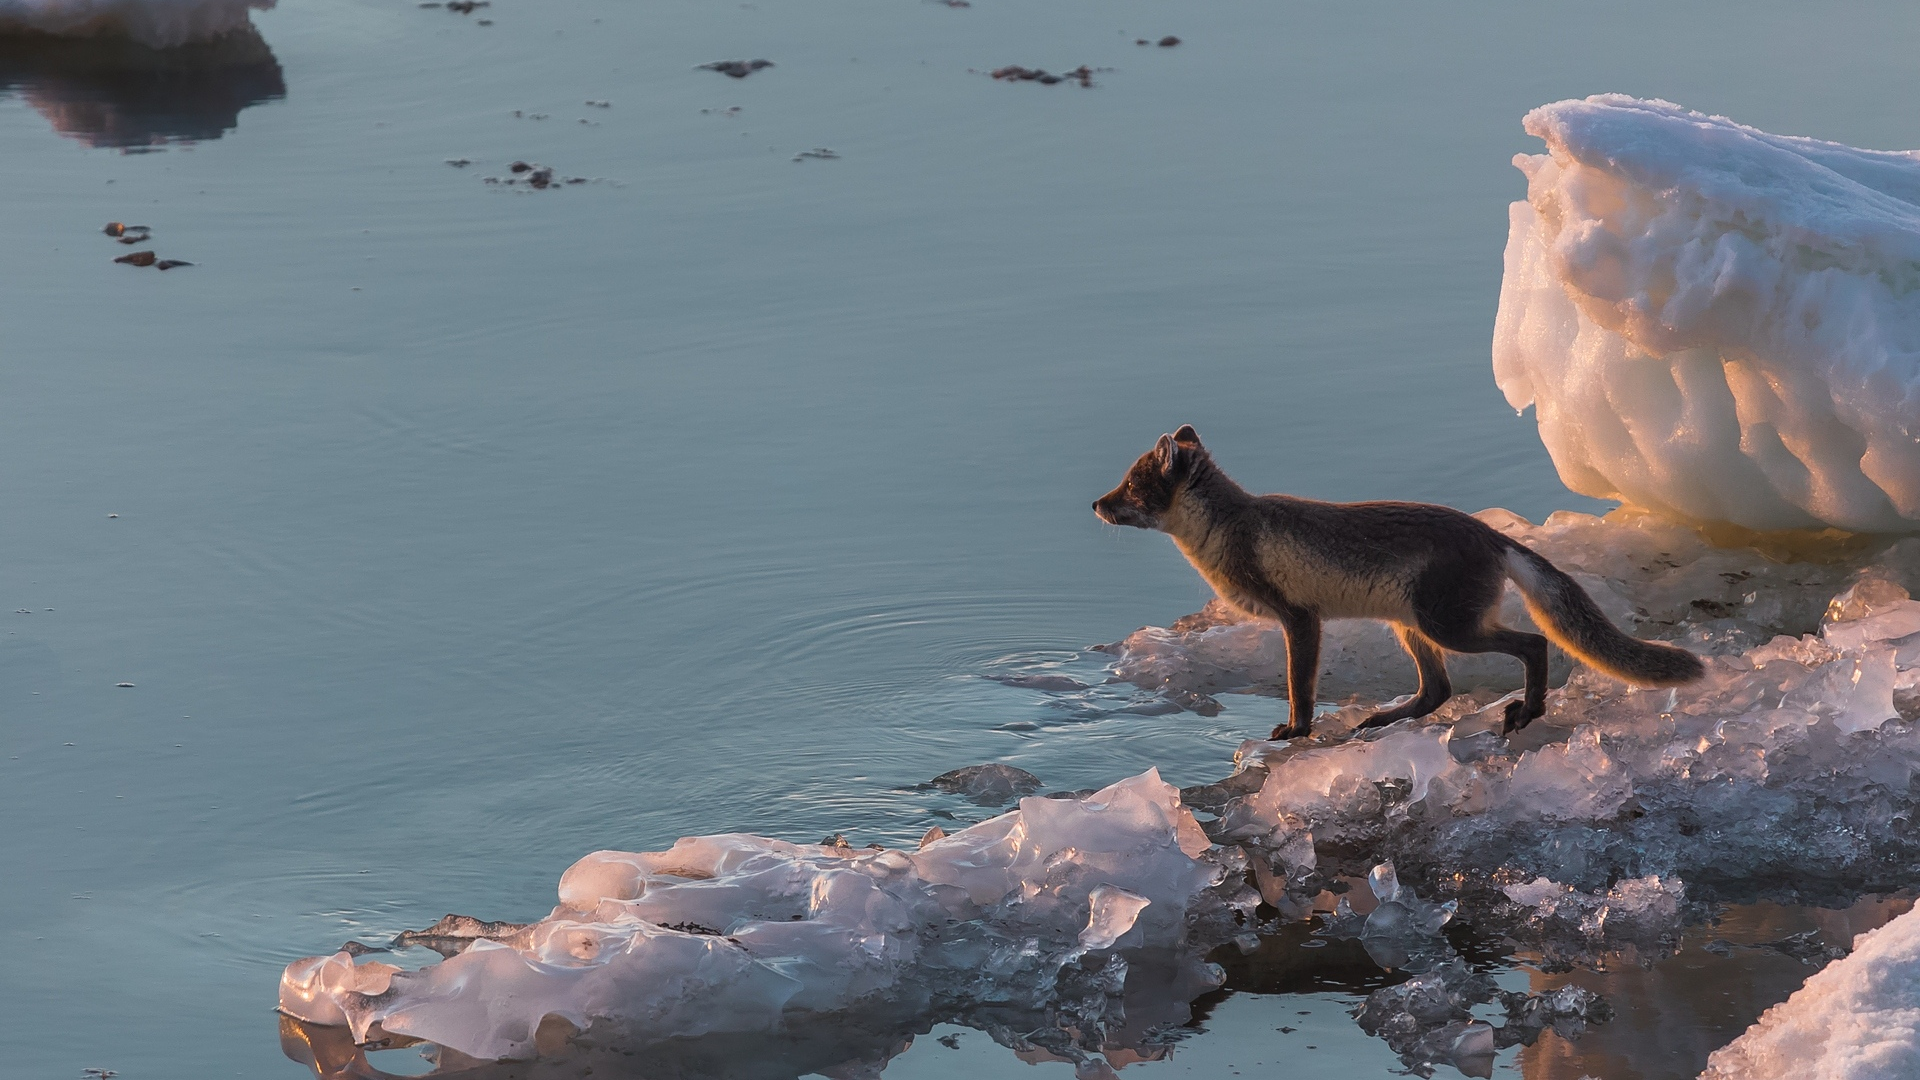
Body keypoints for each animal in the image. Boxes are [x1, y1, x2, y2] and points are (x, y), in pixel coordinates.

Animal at [1090, 424, 1704, 734]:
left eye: (1130, 486)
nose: (1095, 504)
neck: (1229, 529)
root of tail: (1492, 535)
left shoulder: (1299, 618)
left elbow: (1298, 689)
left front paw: (1296, 732)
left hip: (1447, 627)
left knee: (1531, 644)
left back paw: (1528, 713)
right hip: (1412, 628)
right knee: (1437, 692)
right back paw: (1382, 719)